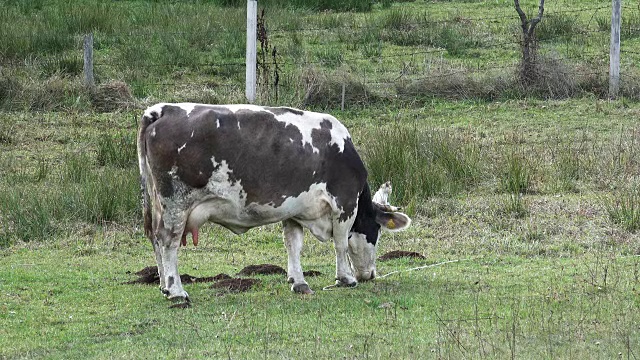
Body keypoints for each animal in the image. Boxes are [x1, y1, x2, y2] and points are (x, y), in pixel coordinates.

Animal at [138, 102, 412, 302]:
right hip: (175, 204)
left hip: (157, 204)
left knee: (154, 239)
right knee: (168, 241)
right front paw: (345, 278)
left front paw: (298, 282)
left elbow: (293, 244)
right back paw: (176, 291)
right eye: (376, 231)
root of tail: (162, 109)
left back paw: (164, 286)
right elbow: (341, 243)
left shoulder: (294, 208)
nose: (371, 275)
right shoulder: (344, 203)